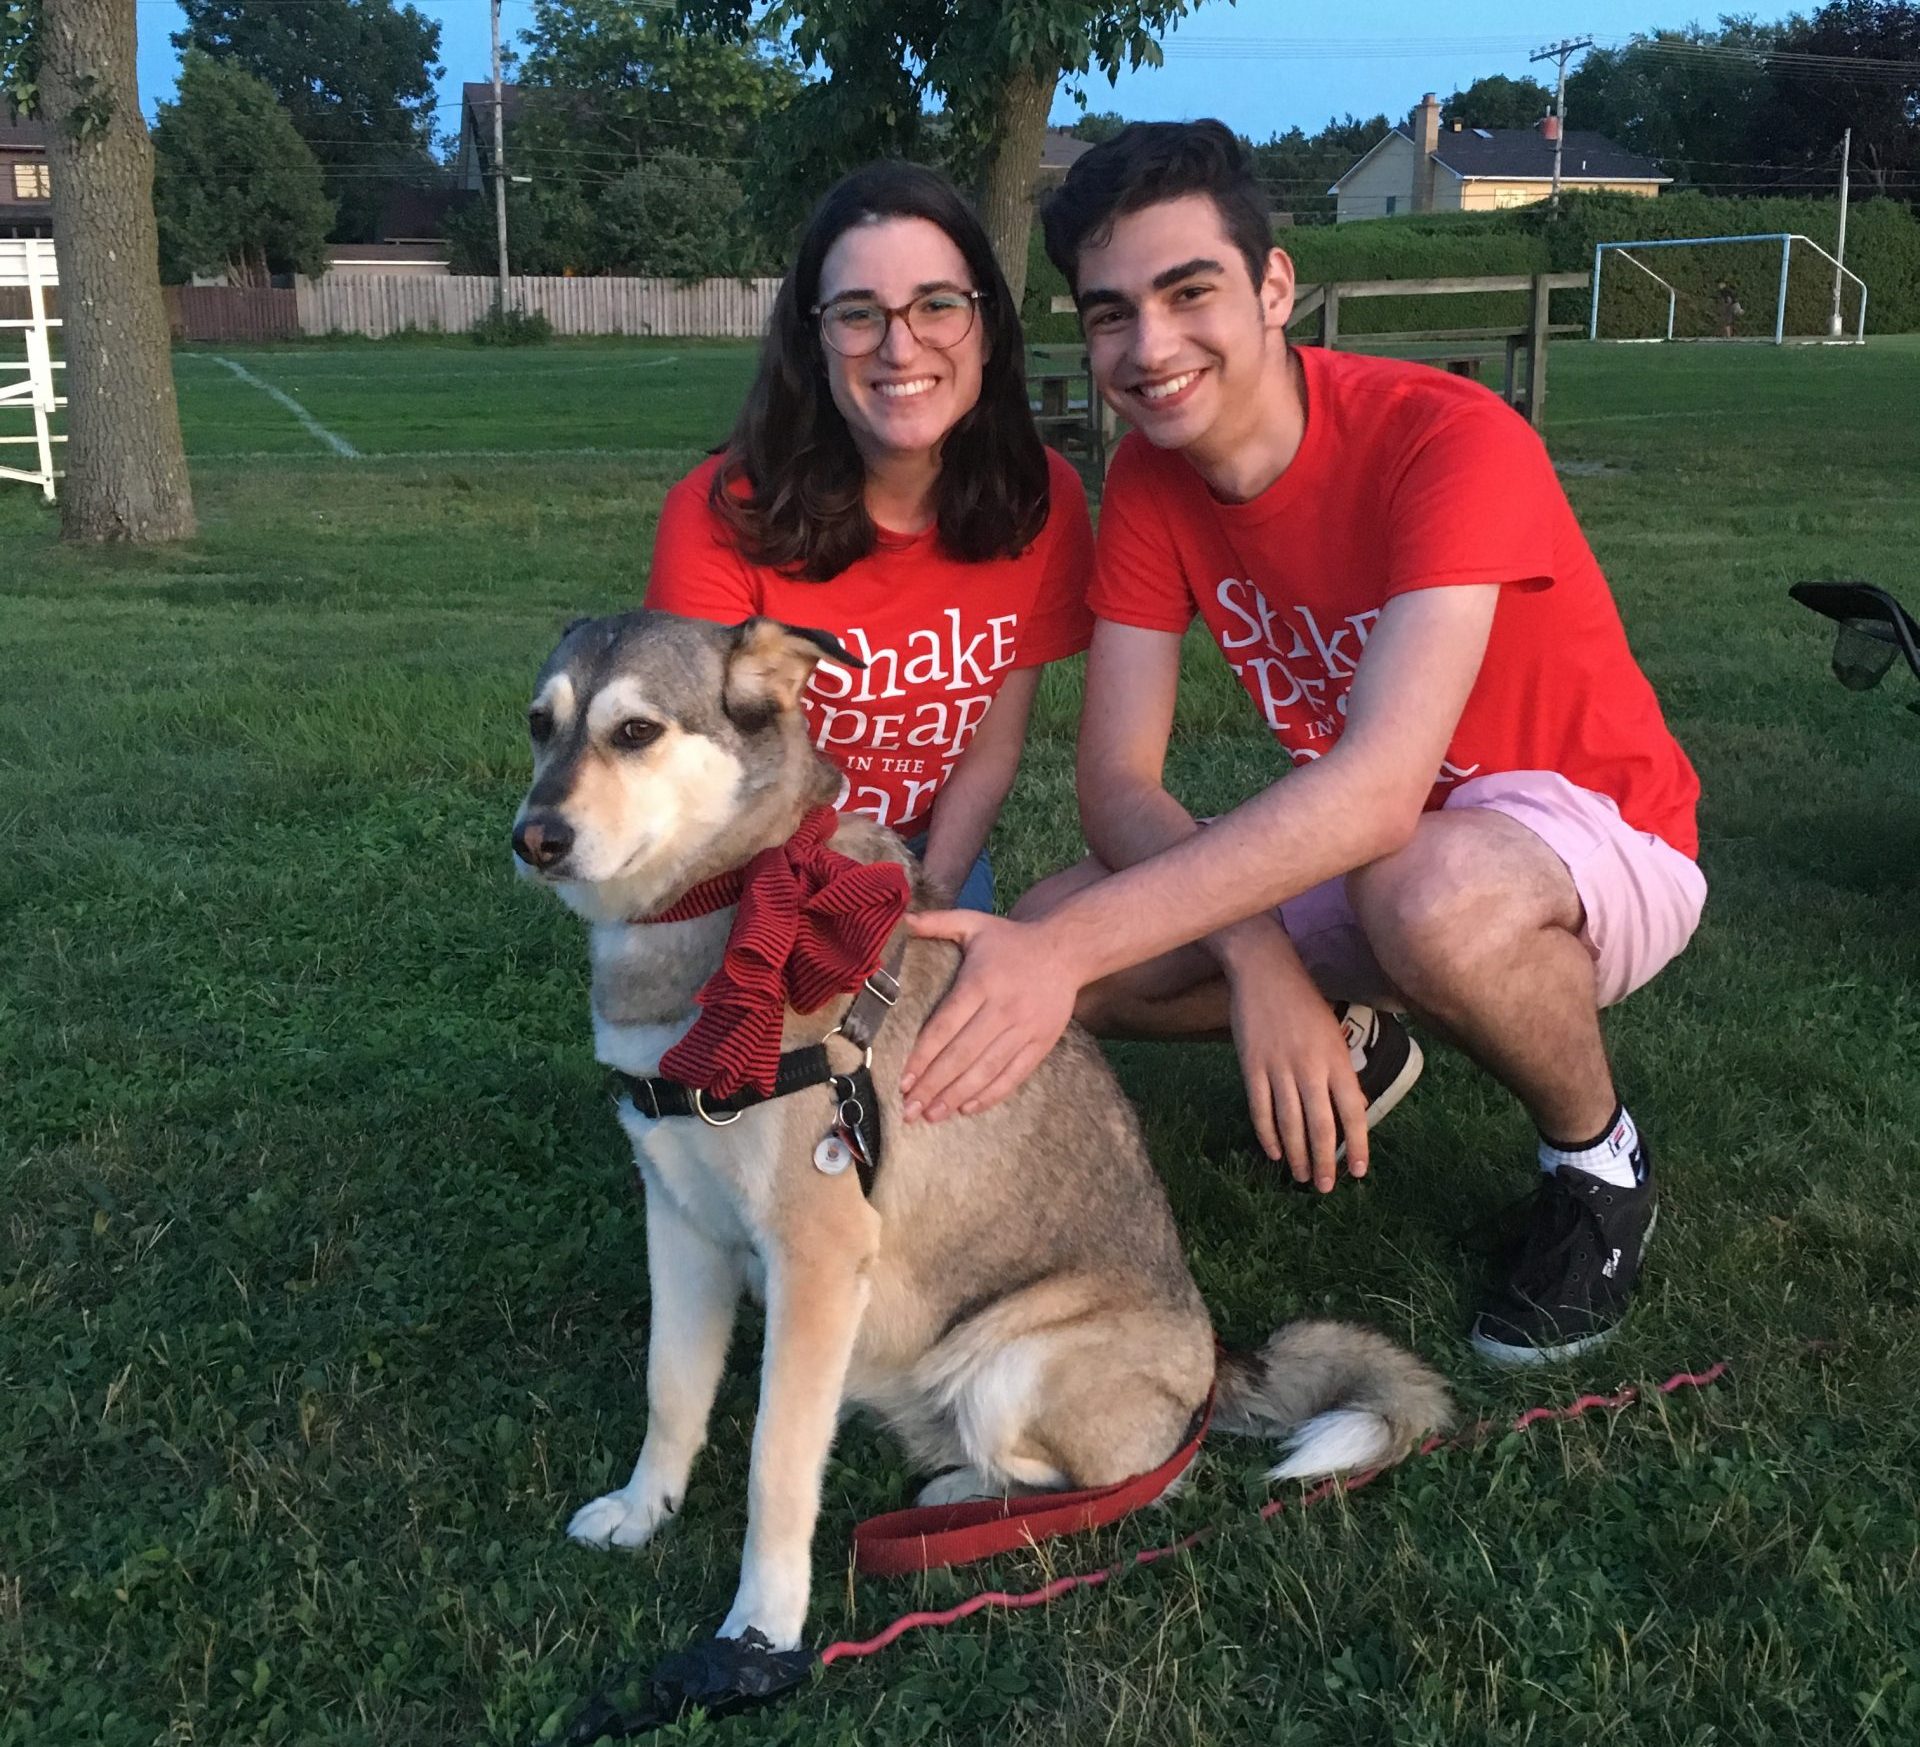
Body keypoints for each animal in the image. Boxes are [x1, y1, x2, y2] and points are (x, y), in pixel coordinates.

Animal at [510, 610, 1451, 1658]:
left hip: (1005, 1363)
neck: (733, 895)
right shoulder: (680, 1224)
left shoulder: (818, 1255)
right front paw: (644, 1511)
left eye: (636, 731)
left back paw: (959, 1491)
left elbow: (775, 1462)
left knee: (1091, 1479)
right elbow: (670, 1394)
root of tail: (1215, 1362)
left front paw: (763, 1622)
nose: (534, 839)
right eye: (540, 724)